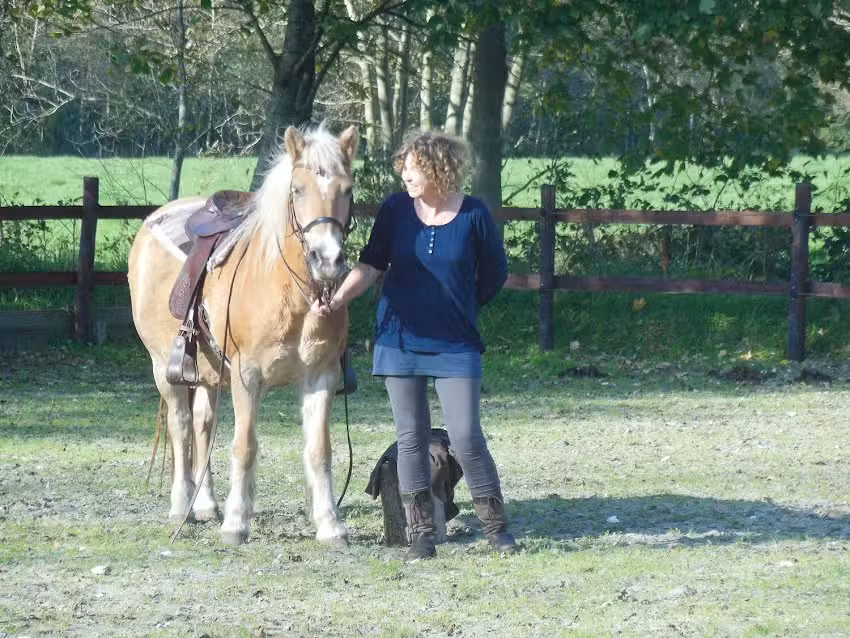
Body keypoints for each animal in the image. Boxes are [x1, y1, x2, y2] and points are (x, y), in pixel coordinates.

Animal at [128, 124, 358, 546]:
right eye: (297, 189)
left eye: (347, 189)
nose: (328, 259)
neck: (288, 290)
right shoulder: (247, 376)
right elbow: (245, 446)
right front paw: (236, 523)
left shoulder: (321, 376)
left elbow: (320, 449)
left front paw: (330, 524)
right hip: (164, 368)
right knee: (181, 427)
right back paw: (182, 505)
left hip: (207, 373)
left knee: (202, 424)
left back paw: (204, 504)